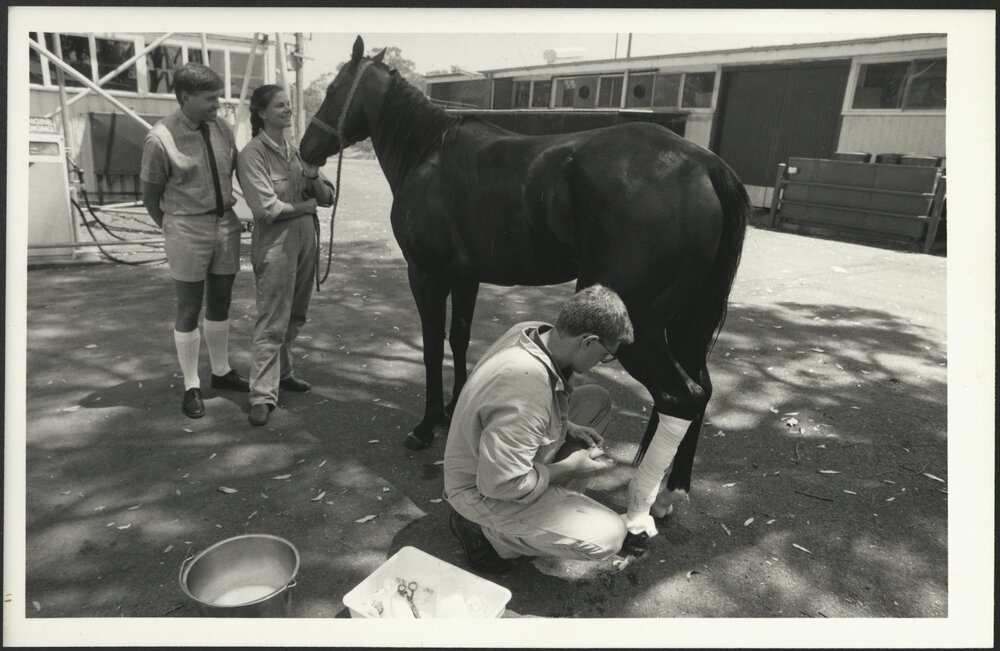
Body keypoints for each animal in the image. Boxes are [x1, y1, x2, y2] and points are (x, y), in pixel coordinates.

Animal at [300, 36, 749, 519]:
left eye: (333, 90)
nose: (305, 150)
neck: (430, 153)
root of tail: (704, 164)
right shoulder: (465, 277)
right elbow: (459, 338)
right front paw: (455, 406)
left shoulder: (426, 275)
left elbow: (432, 344)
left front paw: (426, 424)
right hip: (686, 324)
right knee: (702, 392)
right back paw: (671, 491)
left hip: (642, 330)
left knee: (682, 397)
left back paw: (646, 502)